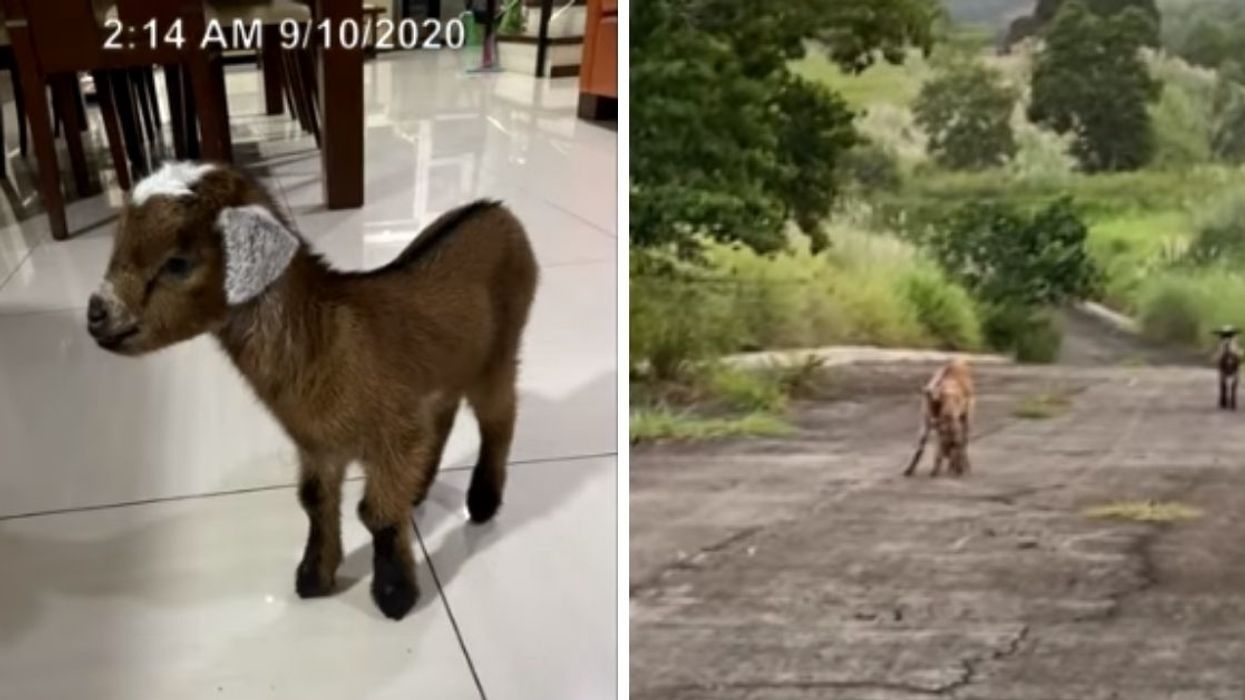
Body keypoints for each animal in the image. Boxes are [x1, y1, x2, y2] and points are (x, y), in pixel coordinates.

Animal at [87, 161, 538, 620]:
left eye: (177, 263)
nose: (96, 314)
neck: (326, 336)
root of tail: (498, 209)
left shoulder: (394, 434)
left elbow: (375, 513)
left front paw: (395, 596)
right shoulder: (317, 446)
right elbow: (314, 501)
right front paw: (314, 578)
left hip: (501, 349)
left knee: (500, 416)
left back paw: (482, 502)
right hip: (449, 367)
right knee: (445, 414)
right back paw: (419, 490)